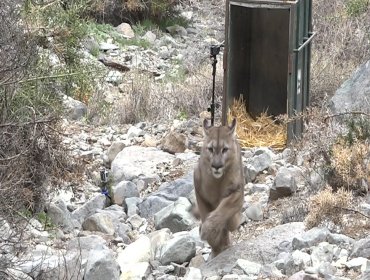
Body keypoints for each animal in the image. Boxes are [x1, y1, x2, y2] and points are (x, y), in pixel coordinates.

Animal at [194, 118, 246, 258]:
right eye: (210, 149)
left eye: (225, 149)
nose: (217, 166)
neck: (217, 182)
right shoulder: (199, 192)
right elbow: (205, 214)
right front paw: (213, 241)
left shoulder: (237, 191)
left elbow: (224, 209)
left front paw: (208, 230)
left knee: (230, 223)